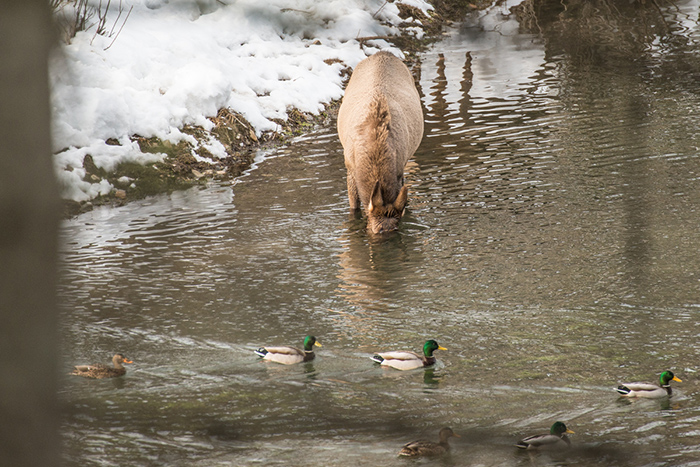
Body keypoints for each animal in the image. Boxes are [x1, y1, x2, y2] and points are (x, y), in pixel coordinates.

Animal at [336, 52, 424, 234]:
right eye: (372, 230)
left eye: (397, 230)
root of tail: (383, 53)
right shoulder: (349, 167)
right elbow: (354, 207)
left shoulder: (399, 169)